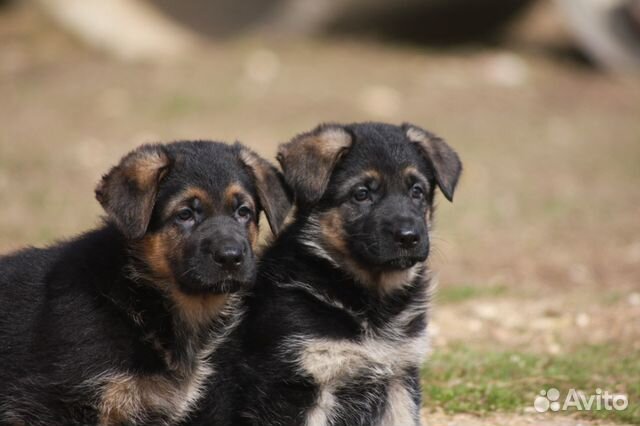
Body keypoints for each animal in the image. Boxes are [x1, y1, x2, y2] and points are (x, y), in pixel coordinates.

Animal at [190, 121, 460, 424]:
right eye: (361, 194)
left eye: (417, 191)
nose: (409, 237)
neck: (369, 302)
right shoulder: (301, 385)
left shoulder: (399, 377)